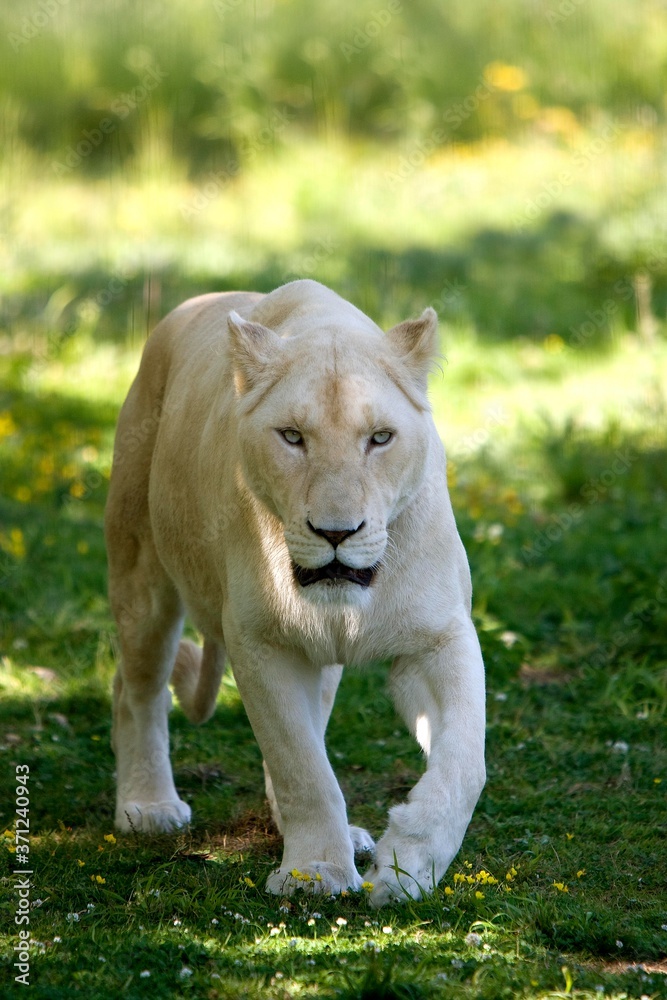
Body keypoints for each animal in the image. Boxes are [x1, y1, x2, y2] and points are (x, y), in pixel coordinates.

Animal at [107, 278, 488, 904]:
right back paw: (148, 805)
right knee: (137, 689)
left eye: (379, 438)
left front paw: (406, 866)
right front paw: (316, 872)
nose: (336, 533)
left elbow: (464, 762)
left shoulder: (438, 637)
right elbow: (299, 764)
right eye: (292, 437)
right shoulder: (259, 640)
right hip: (142, 574)